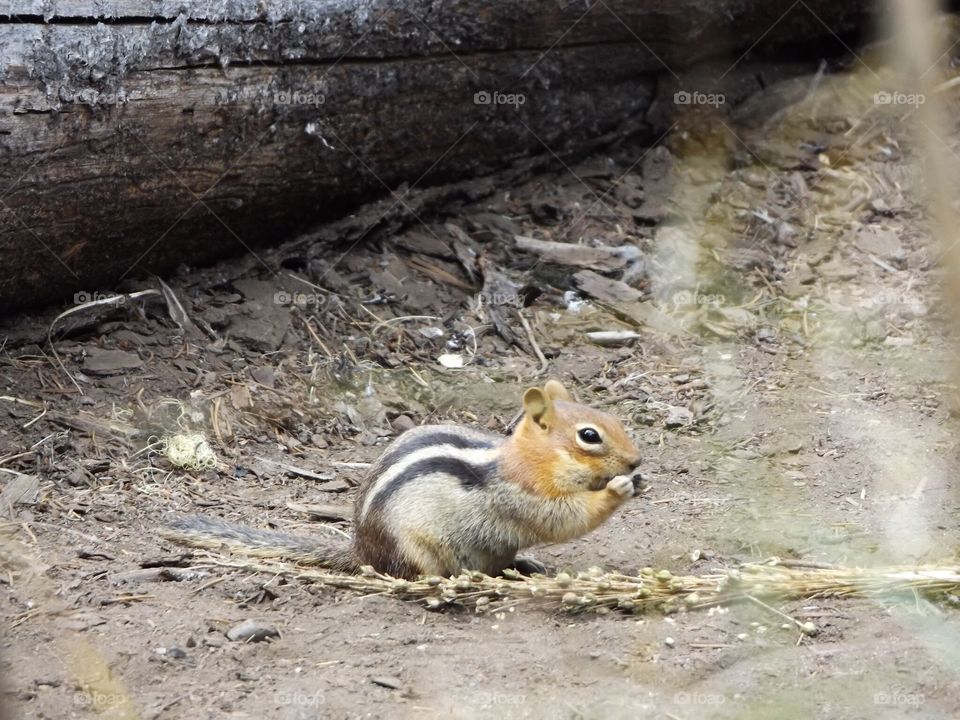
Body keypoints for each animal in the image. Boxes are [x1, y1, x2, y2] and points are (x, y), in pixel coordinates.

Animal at [162, 379, 643, 579]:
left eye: (613, 419)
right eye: (589, 436)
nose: (636, 462)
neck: (531, 459)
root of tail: (361, 550)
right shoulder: (520, 495)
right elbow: (563, 519)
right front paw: (617, 491)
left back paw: (522, 567)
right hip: (414, 549)